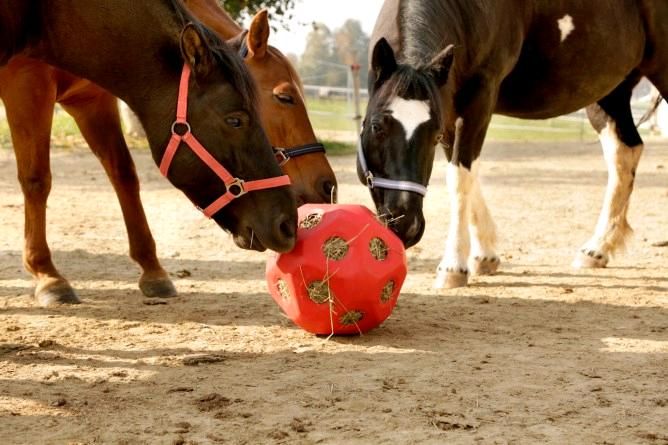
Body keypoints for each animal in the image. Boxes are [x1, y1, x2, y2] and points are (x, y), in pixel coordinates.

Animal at [0, 0, 298, 306]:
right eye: (235, 120)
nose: (288, 225)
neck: (44, 13)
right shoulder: (27, 87)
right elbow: (37, 179)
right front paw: (48, 276)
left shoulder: (90, 100)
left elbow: (124, 174)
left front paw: (153, 271)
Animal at [360, 0, 668, 288]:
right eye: (376, 126)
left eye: (433, 135)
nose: (406, 225)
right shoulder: (450, 107)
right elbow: (465, 173)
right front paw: (485, 256)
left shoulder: (479, 98)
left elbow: (460, 178)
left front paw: (453, 267)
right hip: (611, 92)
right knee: (625, 153)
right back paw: (597, 249)